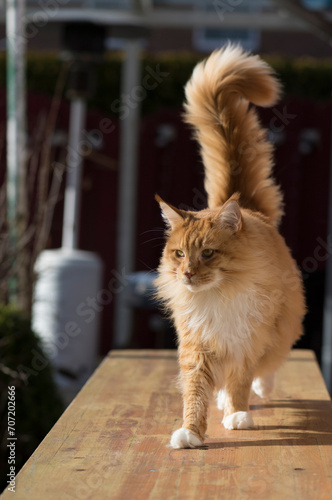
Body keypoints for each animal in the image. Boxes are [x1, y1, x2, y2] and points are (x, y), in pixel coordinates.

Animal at [156, 44, 306, 450]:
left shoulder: (247, 340)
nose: (188, 273)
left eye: (207, 253)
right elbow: (195, 393)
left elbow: (241, 379)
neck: (218, 296)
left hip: (280, 327)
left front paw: (238, 415)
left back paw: (251, 395)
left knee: (268, 367)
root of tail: (248, 207)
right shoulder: (197, 347)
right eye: (179, 254)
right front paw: (191, 433)